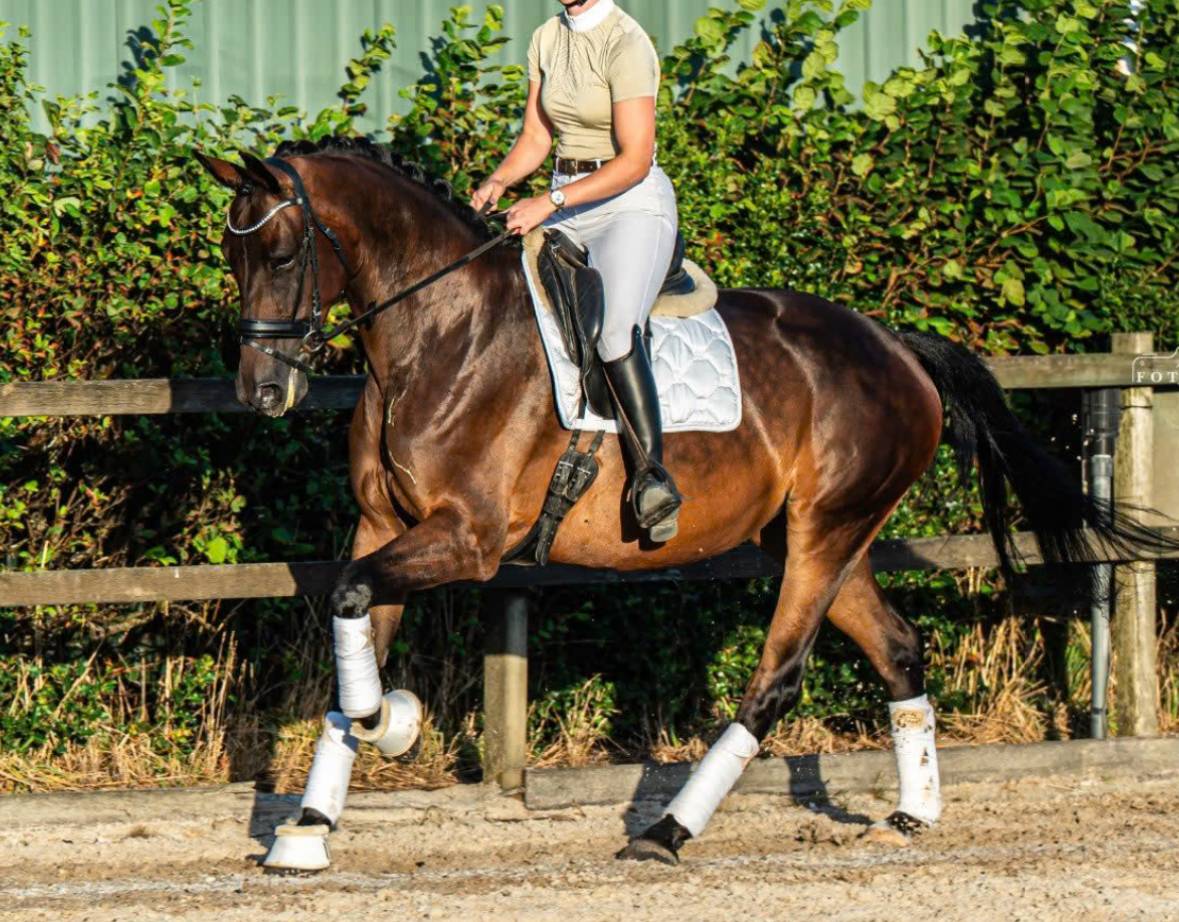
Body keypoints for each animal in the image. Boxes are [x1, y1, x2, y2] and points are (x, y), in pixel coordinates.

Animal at [195, 137, 1173, 867]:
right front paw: (310, 826)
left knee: (775, 679)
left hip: (824, 534)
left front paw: (392, 723)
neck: (440, 334)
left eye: (280, 253)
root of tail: (895, 346)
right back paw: (910, 815)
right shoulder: (386, 524)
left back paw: (666, 831)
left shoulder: (464, 539)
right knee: (898, 649)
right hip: (822, 537)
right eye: (233, 257)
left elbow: (352, 601)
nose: (262, 392)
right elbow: (350, 622)